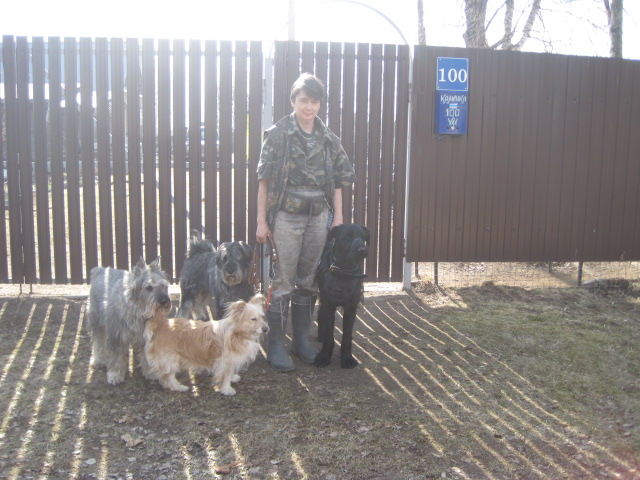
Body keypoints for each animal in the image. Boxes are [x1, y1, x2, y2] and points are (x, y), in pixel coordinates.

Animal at [314, 224, 369, 369]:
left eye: (363, 237)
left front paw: (347, 358)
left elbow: (347, 335)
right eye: (348, 236)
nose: (363, 250)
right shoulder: (328, 303)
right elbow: (329, 333)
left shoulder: (351, 307)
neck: (343, 271)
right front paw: (324, 356)